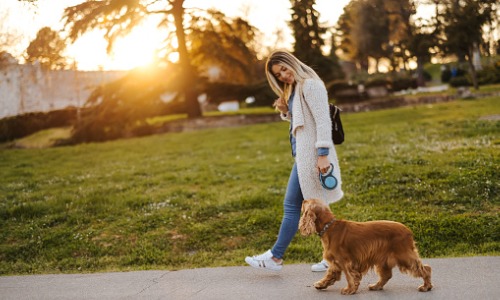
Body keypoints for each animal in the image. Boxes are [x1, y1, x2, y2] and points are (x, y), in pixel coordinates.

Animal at [298, 199, 432, 296]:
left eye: (306, 202)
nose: (302, 200)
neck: (329, 227)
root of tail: (408, 231)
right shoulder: (335, 263)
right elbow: (329, 275)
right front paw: (320, 284)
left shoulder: (346, 261)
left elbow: (350, 277)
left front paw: (349, 290)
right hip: (384, 259)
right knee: (387, 275)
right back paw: (376, 286)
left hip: (404, 255)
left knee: (425, 268)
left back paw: (426, 286)